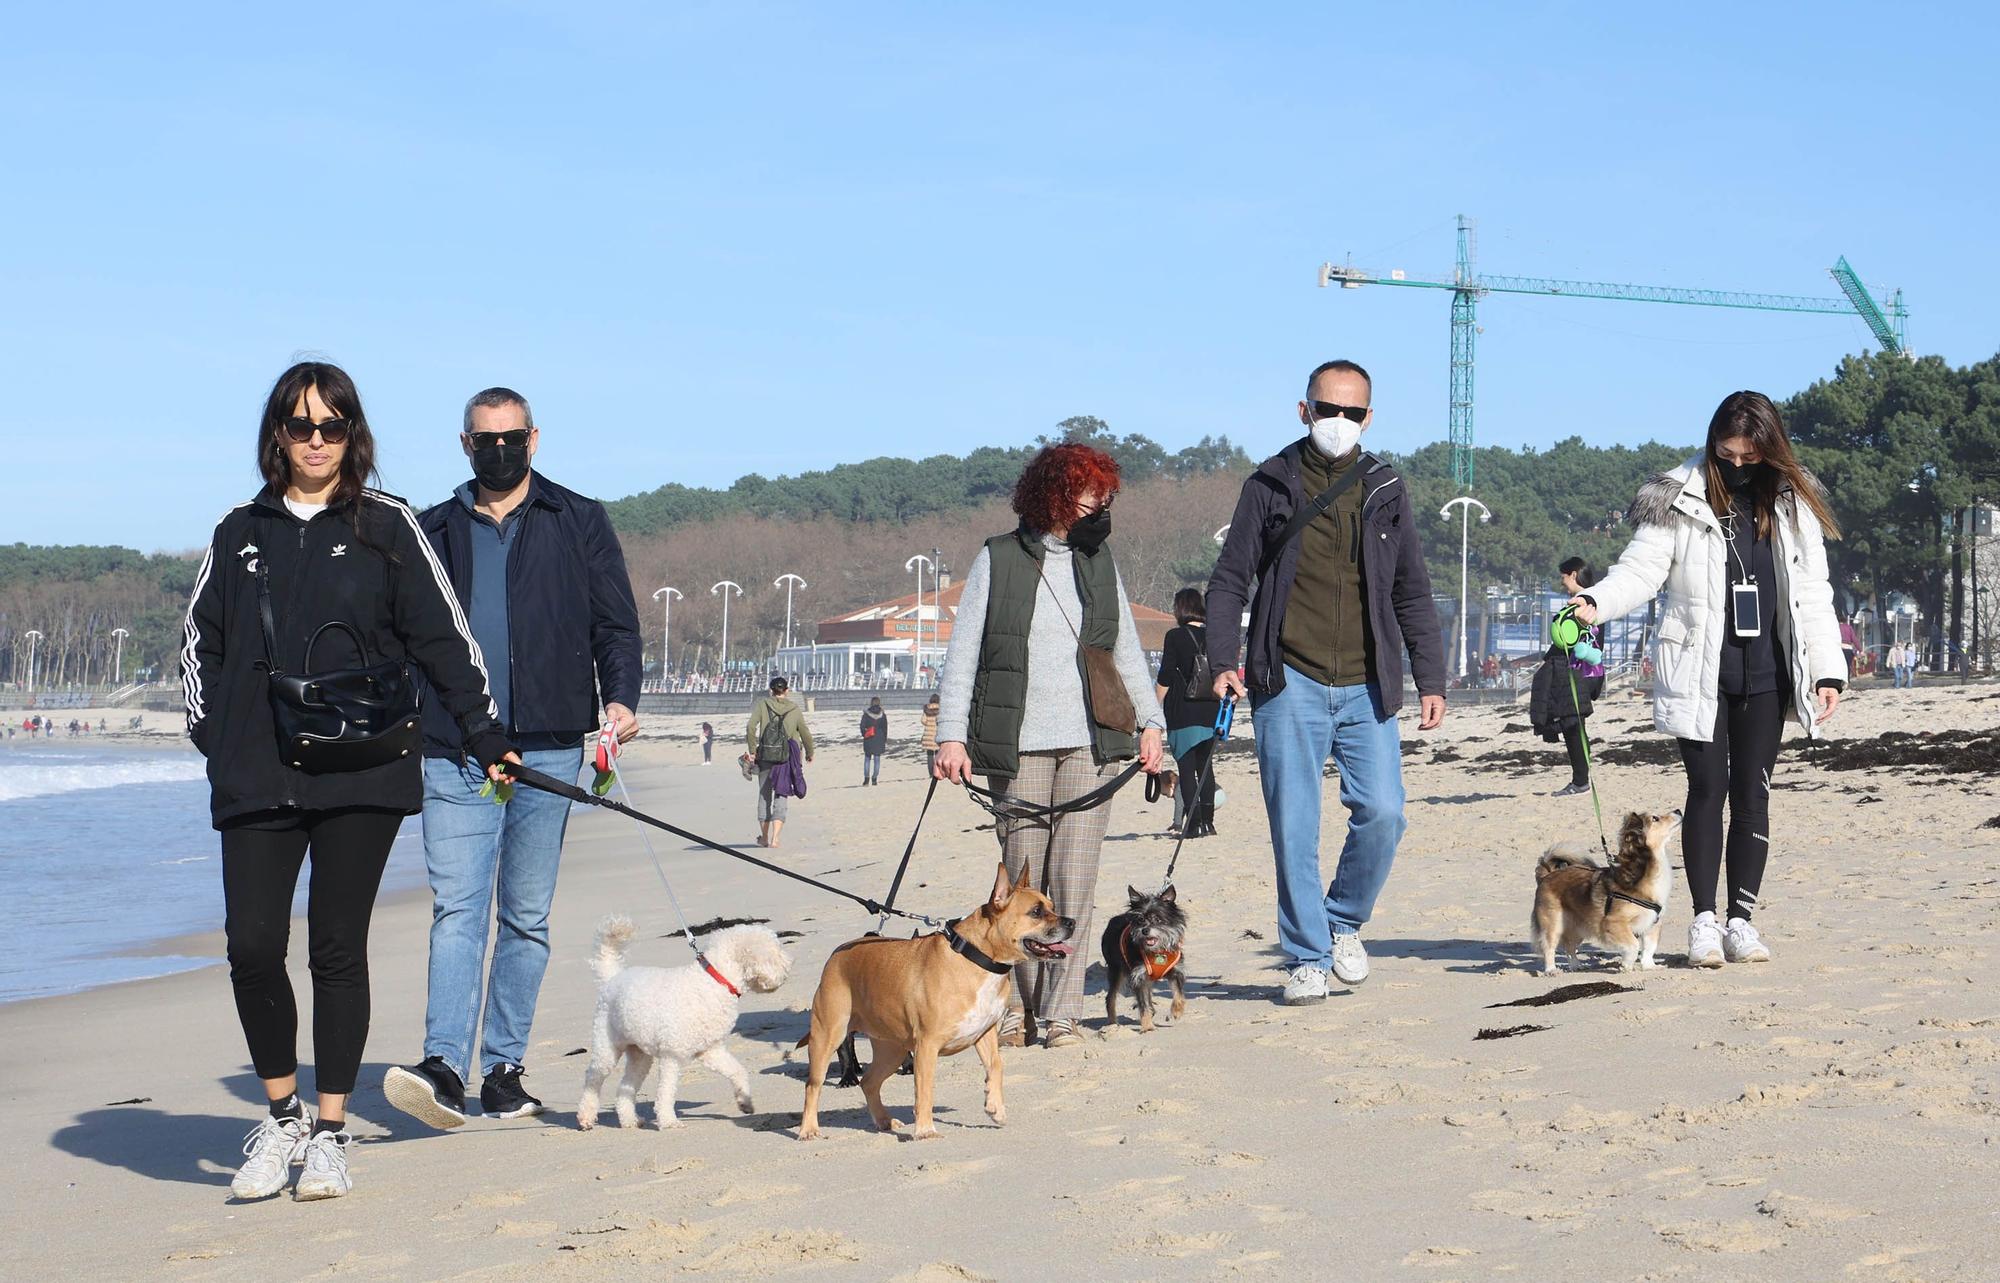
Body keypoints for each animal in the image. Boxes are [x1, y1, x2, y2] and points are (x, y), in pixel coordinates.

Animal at [800, 859, 1080, 1135]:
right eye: (1036, 912)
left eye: (1052, 907)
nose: (1071, 922)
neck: (976, 958)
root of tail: (836, 954)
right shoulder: (927, 1045)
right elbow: (925, 1089)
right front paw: (925, 1130)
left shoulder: (985, 1033)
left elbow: (996, 1066)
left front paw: (995, 1107)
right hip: (829, 1037)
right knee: (813, 1085)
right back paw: (808, 1129)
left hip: (892, 1049)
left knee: (869, 1082)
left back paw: (884, 1121)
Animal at [1104, 879, 1176, 1031]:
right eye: (1140, 919)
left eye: (1157, 919)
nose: (1145, 930)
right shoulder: (1138, 976)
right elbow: (1143, 1002)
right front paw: (1147, 1025)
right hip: (1116, 971)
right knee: (1110, 998)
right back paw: (1113, 1023)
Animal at [1536, 803, 1680, 975]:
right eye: (1655, 818)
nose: (1678, 810)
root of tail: (1547, 875)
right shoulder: (1613, 922)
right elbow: (1633, 944)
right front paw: (1627, 965)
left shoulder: (1653, 924)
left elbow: (1649, 948)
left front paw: (1650, 966)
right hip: (1554, 923)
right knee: (1549, 946)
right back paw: (1551, 969)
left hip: (1580, 927)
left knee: (1569, 946)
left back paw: (1576, 965)